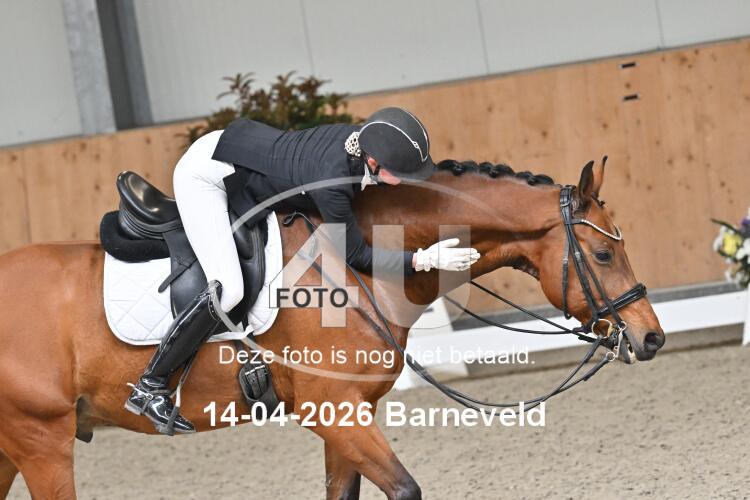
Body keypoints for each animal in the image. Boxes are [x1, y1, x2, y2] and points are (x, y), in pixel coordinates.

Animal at [0, 158, 663, 499]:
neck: (357, 264)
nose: (650, 336)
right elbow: (404, 490)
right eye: (604, 255)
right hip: (42, 439)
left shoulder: (348, 416)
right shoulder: (333, 410)